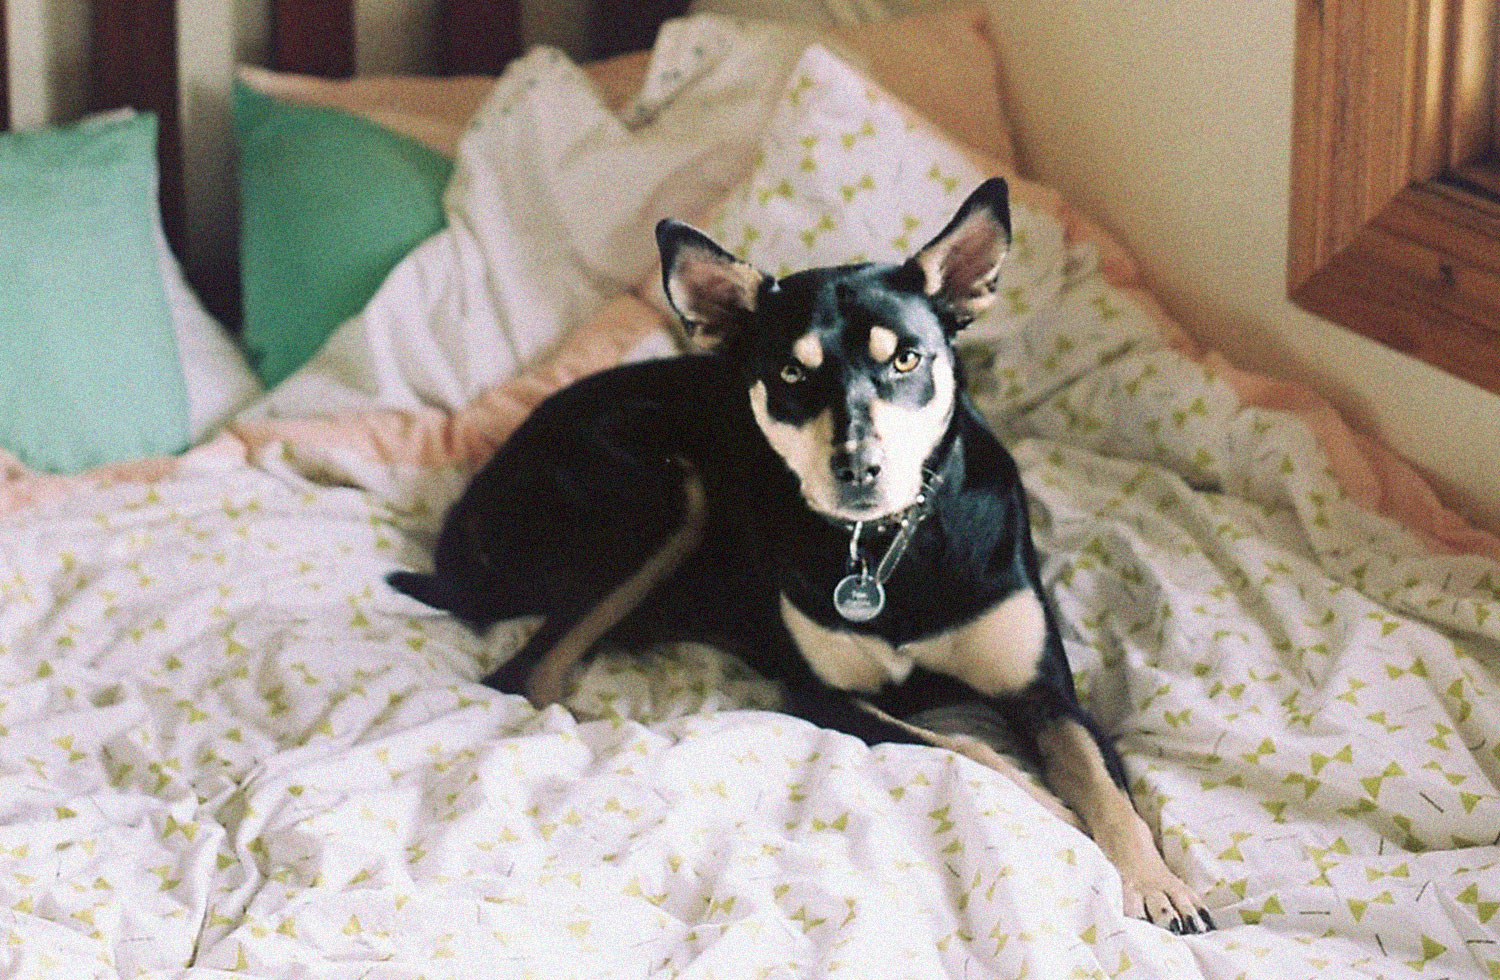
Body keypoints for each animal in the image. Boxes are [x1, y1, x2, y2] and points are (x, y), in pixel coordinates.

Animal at [387, 177, 1206, 930]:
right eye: (790, 373)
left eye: (907, 360)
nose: (858, 466)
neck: (885, 548)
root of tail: (474, 494)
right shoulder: (822, 696)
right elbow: (969, 752)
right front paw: (1050, 811)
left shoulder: (1047, 692)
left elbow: (1104, 784)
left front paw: (1155, 882)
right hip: (666, 497)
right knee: (526, 675)